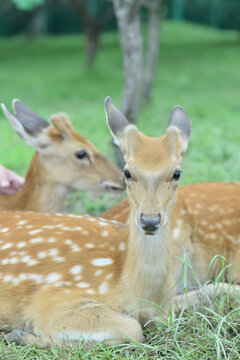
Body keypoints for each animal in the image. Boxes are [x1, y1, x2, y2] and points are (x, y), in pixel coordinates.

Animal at [0, 98, 238, 348]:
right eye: (127, 172)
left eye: (177, 173)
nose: (150, 220)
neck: (134, 290)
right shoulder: (51, 298)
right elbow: (132, 328)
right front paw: (22, 335)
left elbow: (218, 289)